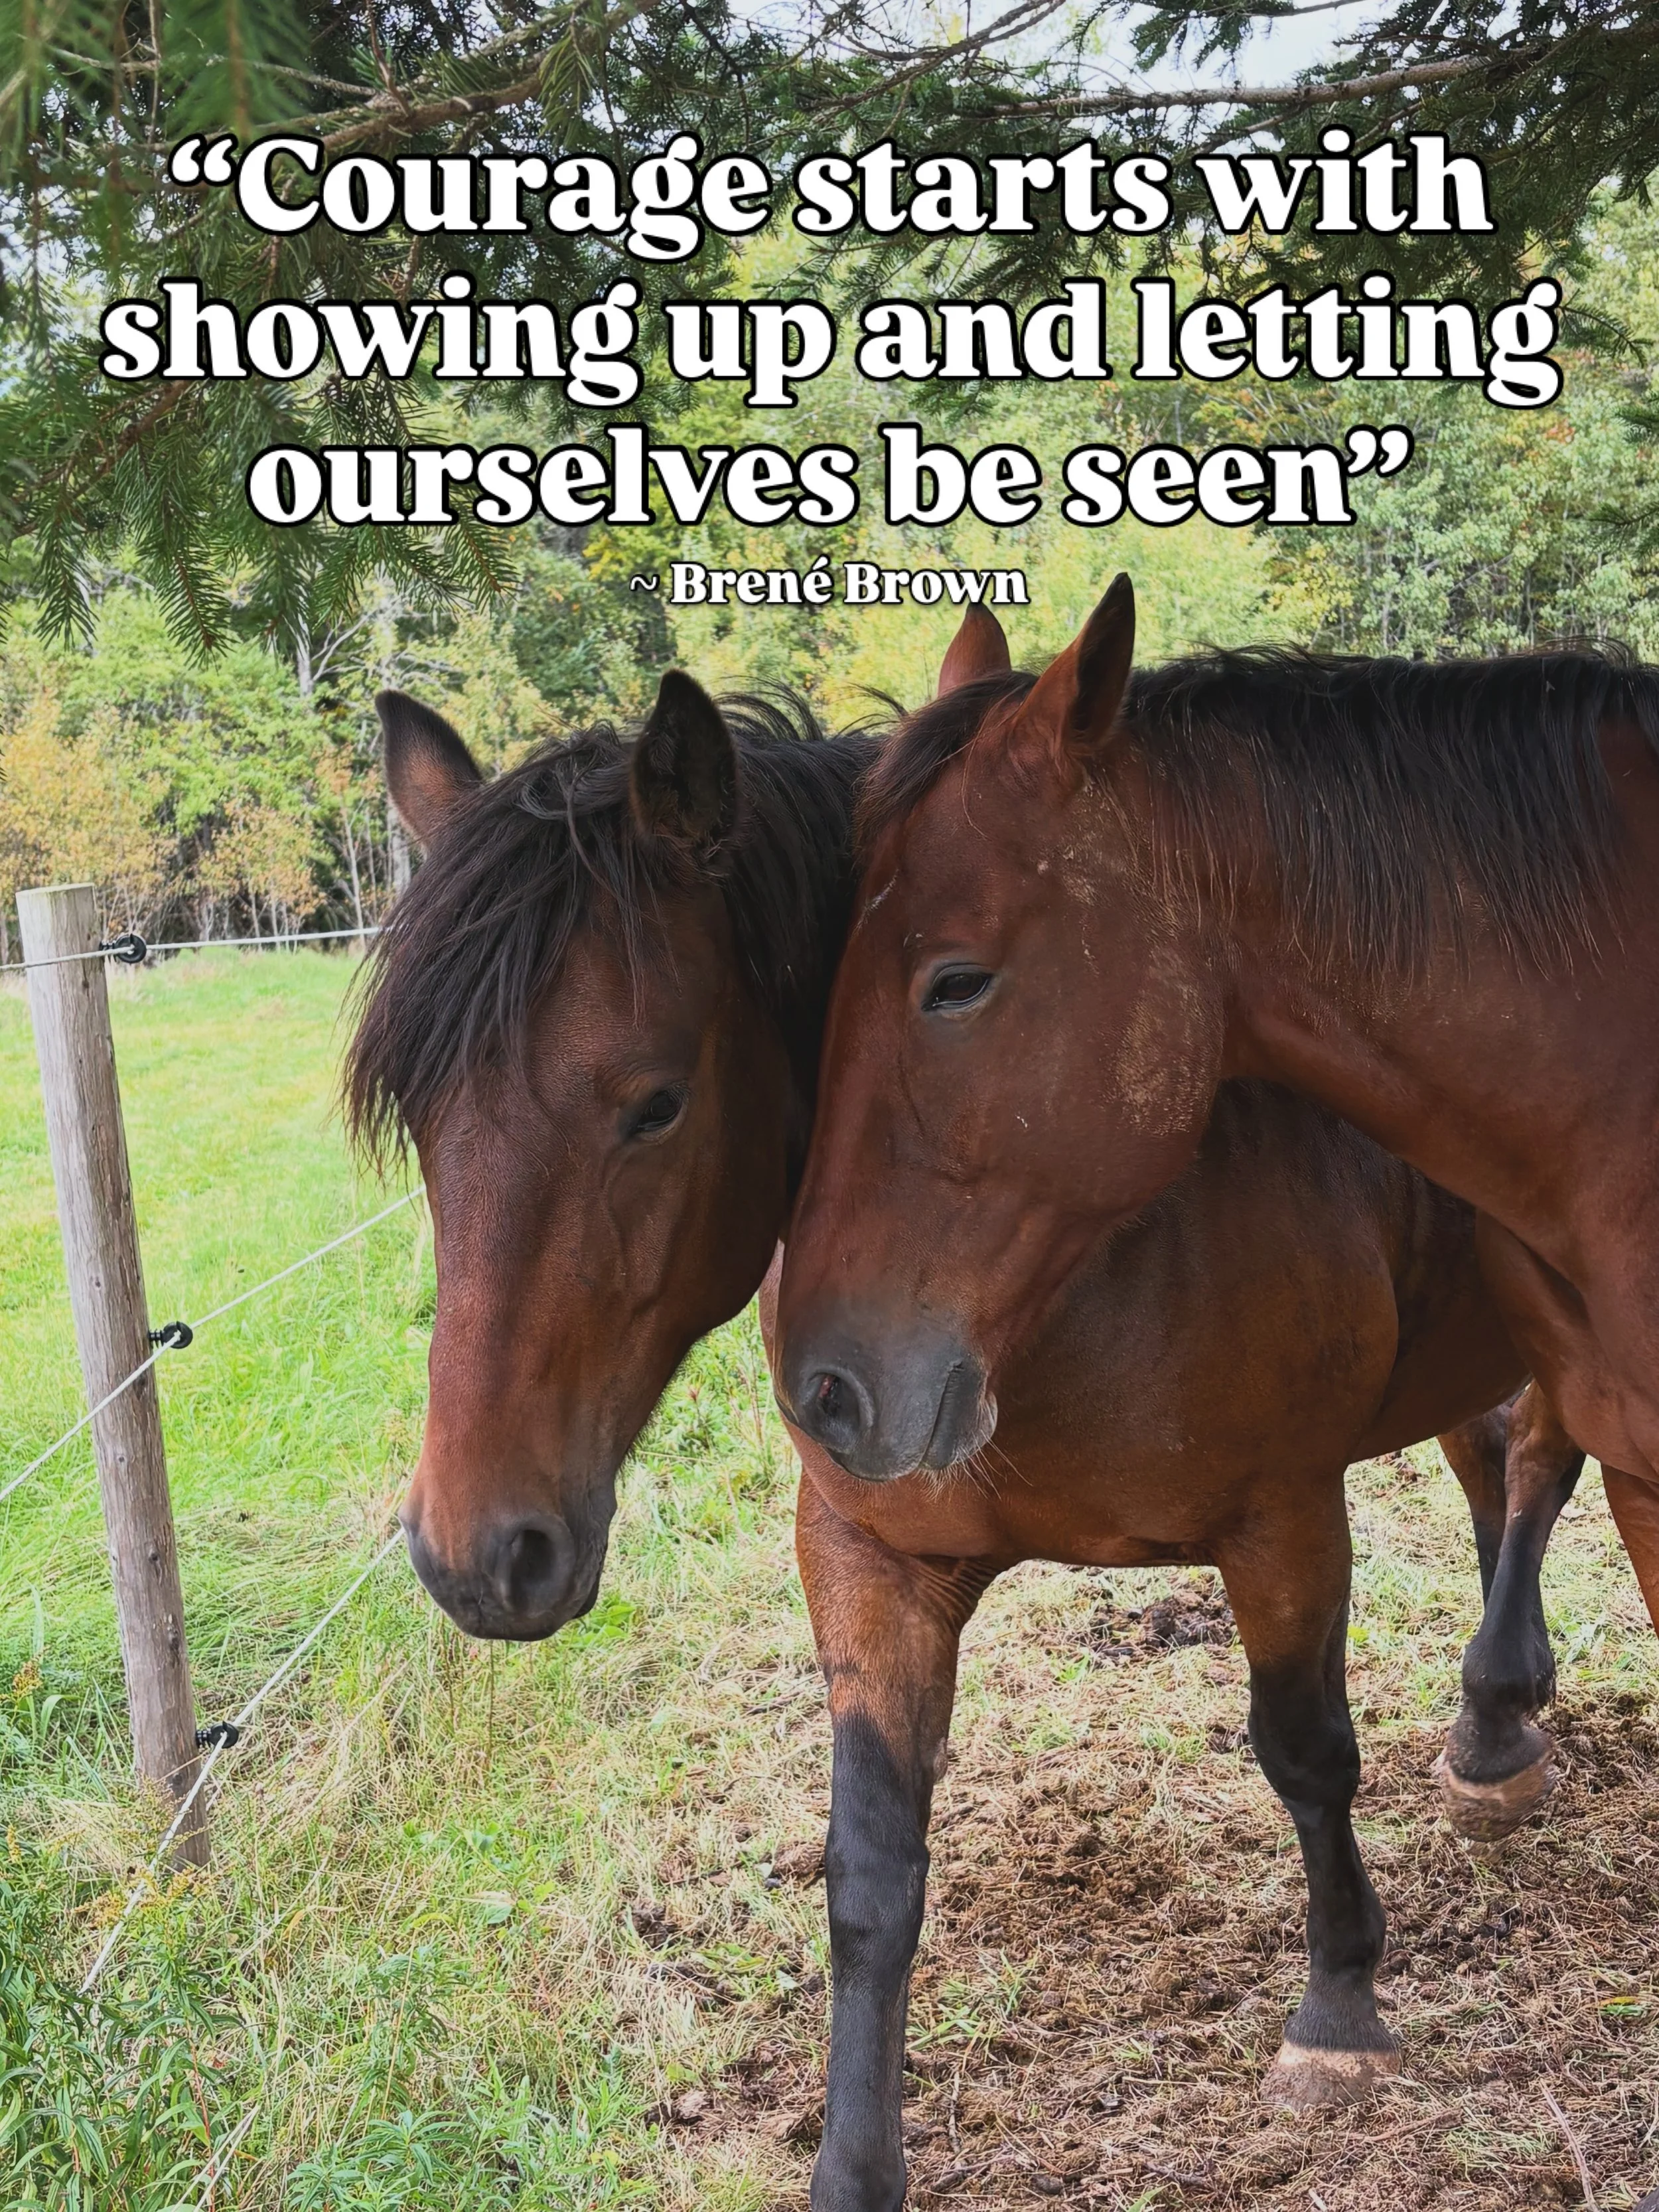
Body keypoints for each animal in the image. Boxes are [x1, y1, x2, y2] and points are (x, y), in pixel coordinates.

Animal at [346, 643, 1581, 2212]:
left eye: (654, 1103)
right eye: (419, 1115)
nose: (477, 1552)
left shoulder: (1285, 1517)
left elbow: (1305, 1750)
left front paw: (1339, 2006)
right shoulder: (866, 1553)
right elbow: (872, 1870)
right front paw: (852, 2160)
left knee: (1537, 1459)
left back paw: (1493, 1713)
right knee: (1493, 1465)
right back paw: (1503, 1718)